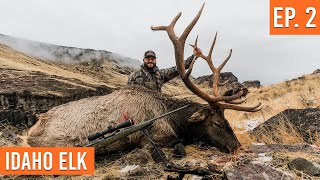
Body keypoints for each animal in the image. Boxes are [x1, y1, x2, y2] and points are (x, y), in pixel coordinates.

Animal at [27, 3, 262, 153]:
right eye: (218, 123)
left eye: (227, 121)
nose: (238, 146)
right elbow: (178, 141)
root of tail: (31, 132)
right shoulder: (154, 137)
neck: (172, 118)